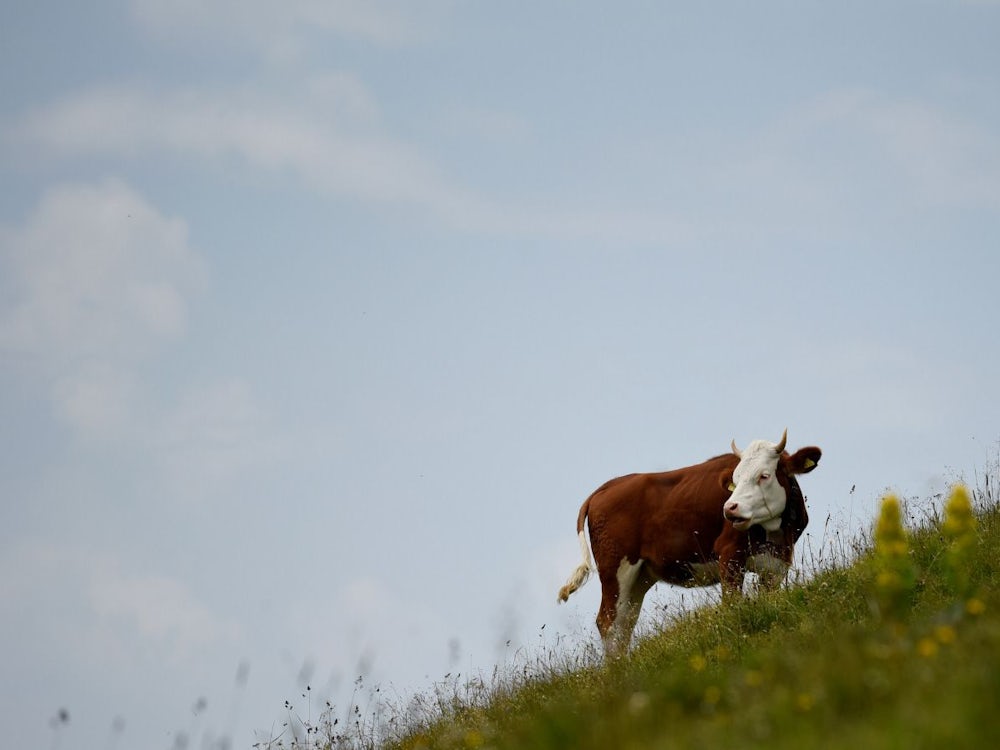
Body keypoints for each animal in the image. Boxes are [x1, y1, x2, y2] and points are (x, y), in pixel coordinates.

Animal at [556, 428, 820, 656]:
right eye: (735, 480)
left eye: (764, 475)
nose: (730, 508)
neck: (775, 532)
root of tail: (605, 487)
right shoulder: (729, 553)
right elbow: (732, 603)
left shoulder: (778, 563)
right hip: (616, 569)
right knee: (608, 623)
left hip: (640, 576)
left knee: (624, 623)